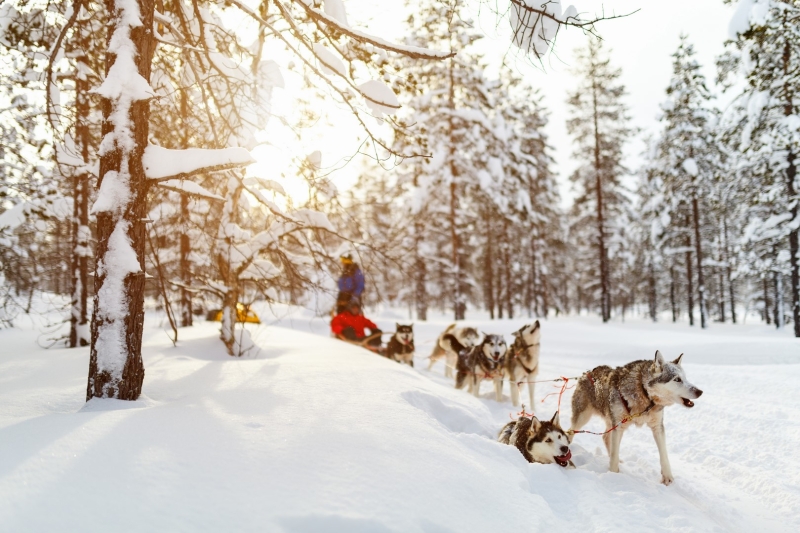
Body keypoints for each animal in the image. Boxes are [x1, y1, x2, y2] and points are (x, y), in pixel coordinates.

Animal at [572, 352, 704, 484]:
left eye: (685, 378)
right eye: (677, 379)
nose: (700, 391)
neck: (644, 393)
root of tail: (586, 373)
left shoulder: (657, 427)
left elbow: (664, 455)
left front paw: (667, 477)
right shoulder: (618, 427)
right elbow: (614, 455)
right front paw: (614, 476)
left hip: (612, 422)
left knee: (605, 438)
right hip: (583, 419)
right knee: (571, 432)